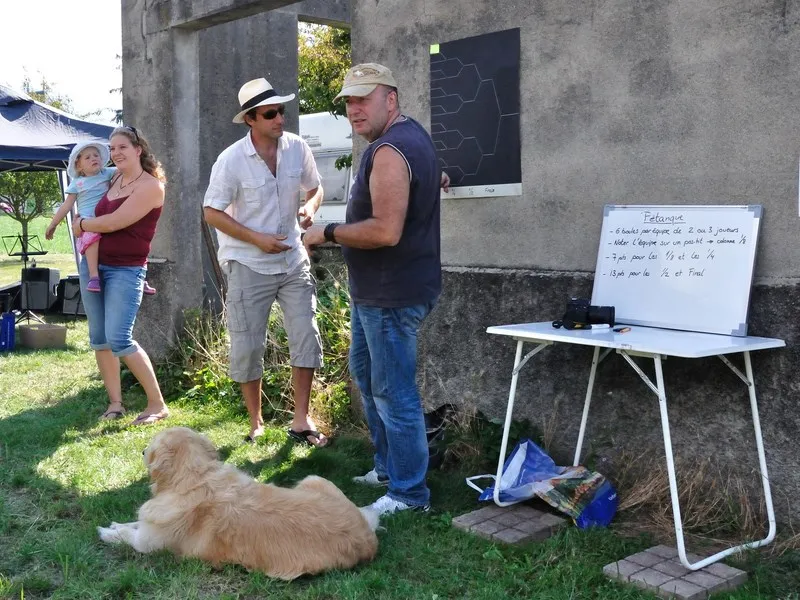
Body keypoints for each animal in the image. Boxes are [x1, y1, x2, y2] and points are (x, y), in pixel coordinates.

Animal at [97, 427, 379, 580]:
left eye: (151, 445)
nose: (142, 451)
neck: (194, 477)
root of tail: (367, 536)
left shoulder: (148, 544)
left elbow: (127, 535)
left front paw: (106, 531)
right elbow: (133, 523)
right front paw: (115, 523)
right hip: (313, 478)